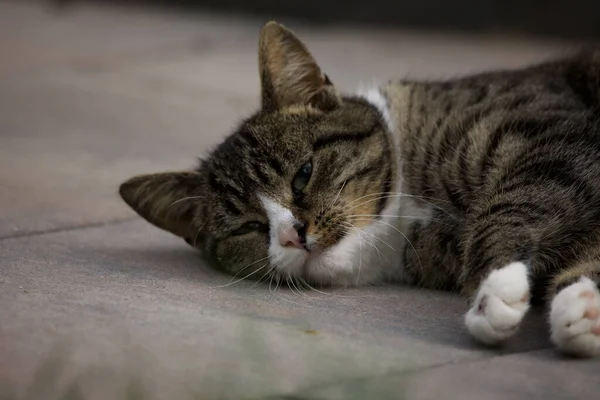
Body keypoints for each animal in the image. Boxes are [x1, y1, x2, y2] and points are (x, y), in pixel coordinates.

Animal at [119, 21, 600, 356]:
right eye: (249, 227)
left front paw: (492, 293)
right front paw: (583, 309)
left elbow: (509, 206)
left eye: (303, 173)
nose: (293, 233)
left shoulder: (552, 140)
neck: (406, 209)